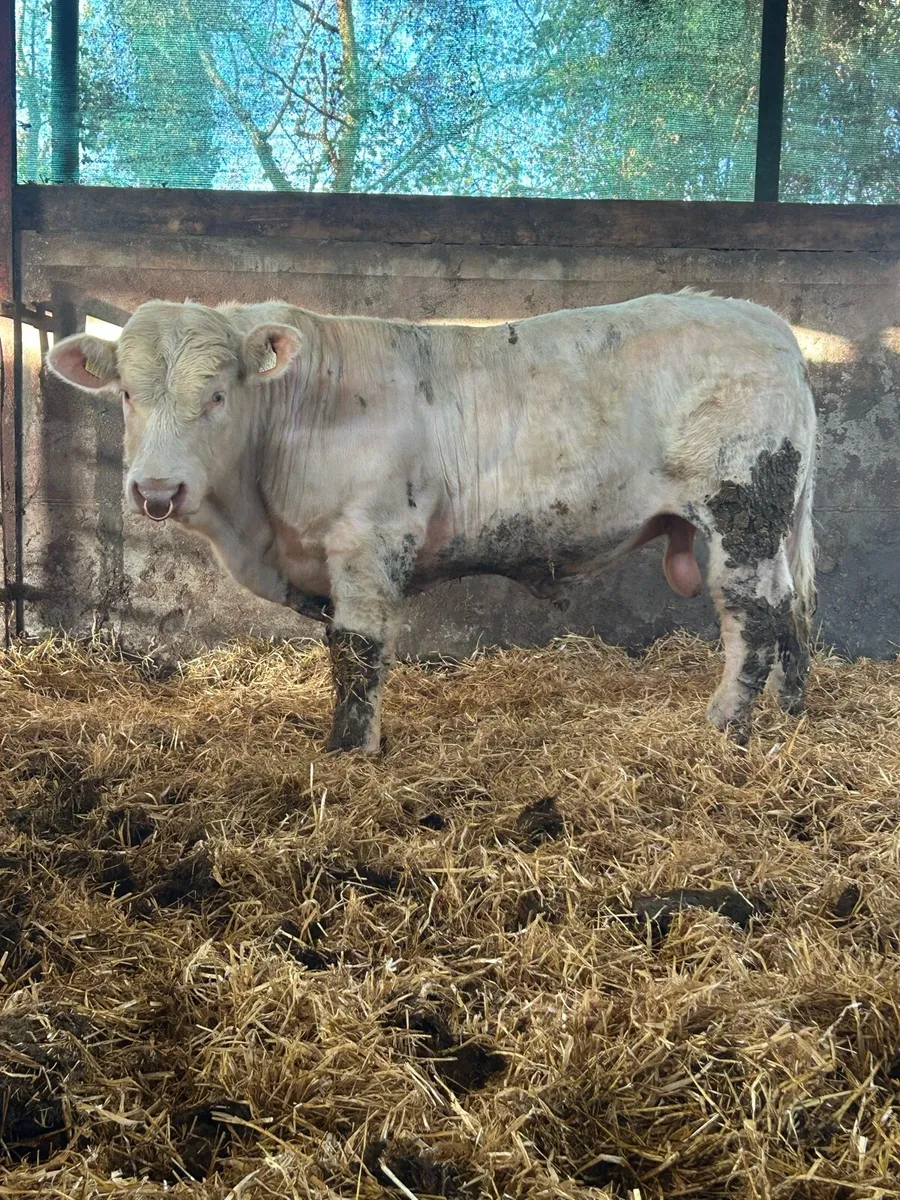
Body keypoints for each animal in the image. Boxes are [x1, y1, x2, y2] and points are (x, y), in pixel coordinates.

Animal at [46, 290, 816, 753]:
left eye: (215, 395)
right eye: (125, 393)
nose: (156, 488)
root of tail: (765, 321)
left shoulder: (369, 537)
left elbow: (357, 648)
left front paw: (350, 748)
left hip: (742, 510)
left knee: (753, 611)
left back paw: (728, 722)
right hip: (775, 524)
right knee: (794, 607)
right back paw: (792, 709)